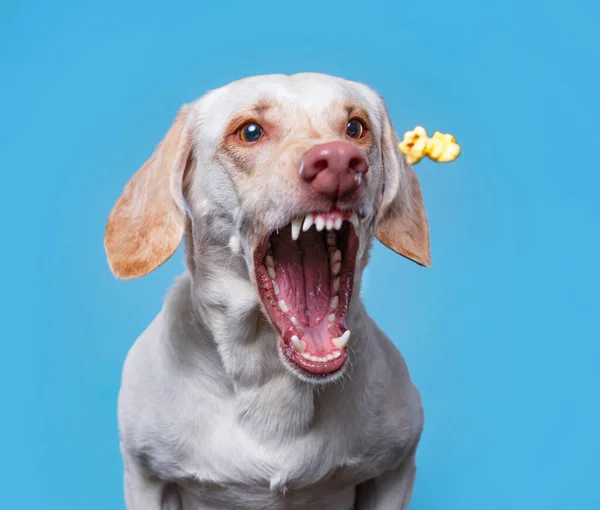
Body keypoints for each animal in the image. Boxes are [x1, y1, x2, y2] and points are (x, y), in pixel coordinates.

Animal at [104, 72, 432, 510]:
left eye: (355, 128)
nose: (339, 161)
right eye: (250, 132)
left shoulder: (395, 470)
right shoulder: (145, 477)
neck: (270, 376)